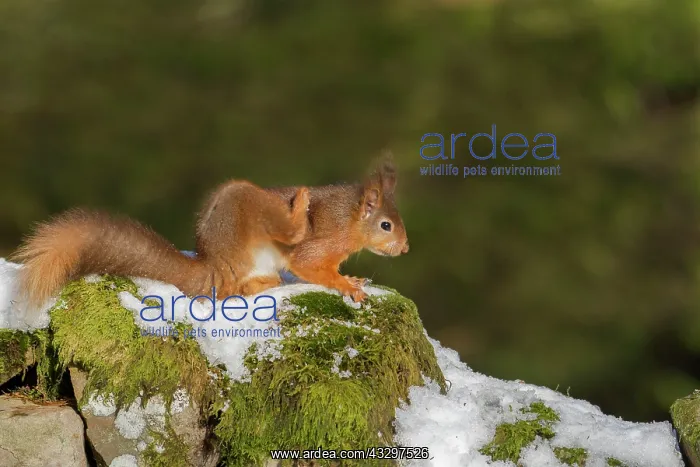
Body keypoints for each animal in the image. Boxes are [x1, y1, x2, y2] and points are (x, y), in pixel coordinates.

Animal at [12, 156, 409, 309]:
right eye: (386, 225)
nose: (405, 249)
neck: (351, 218)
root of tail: (213, 264)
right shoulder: (320, 245)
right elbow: (309, 265)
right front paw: (347, 285)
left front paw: (352, 277)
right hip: (243, 207)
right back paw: (299, 206)